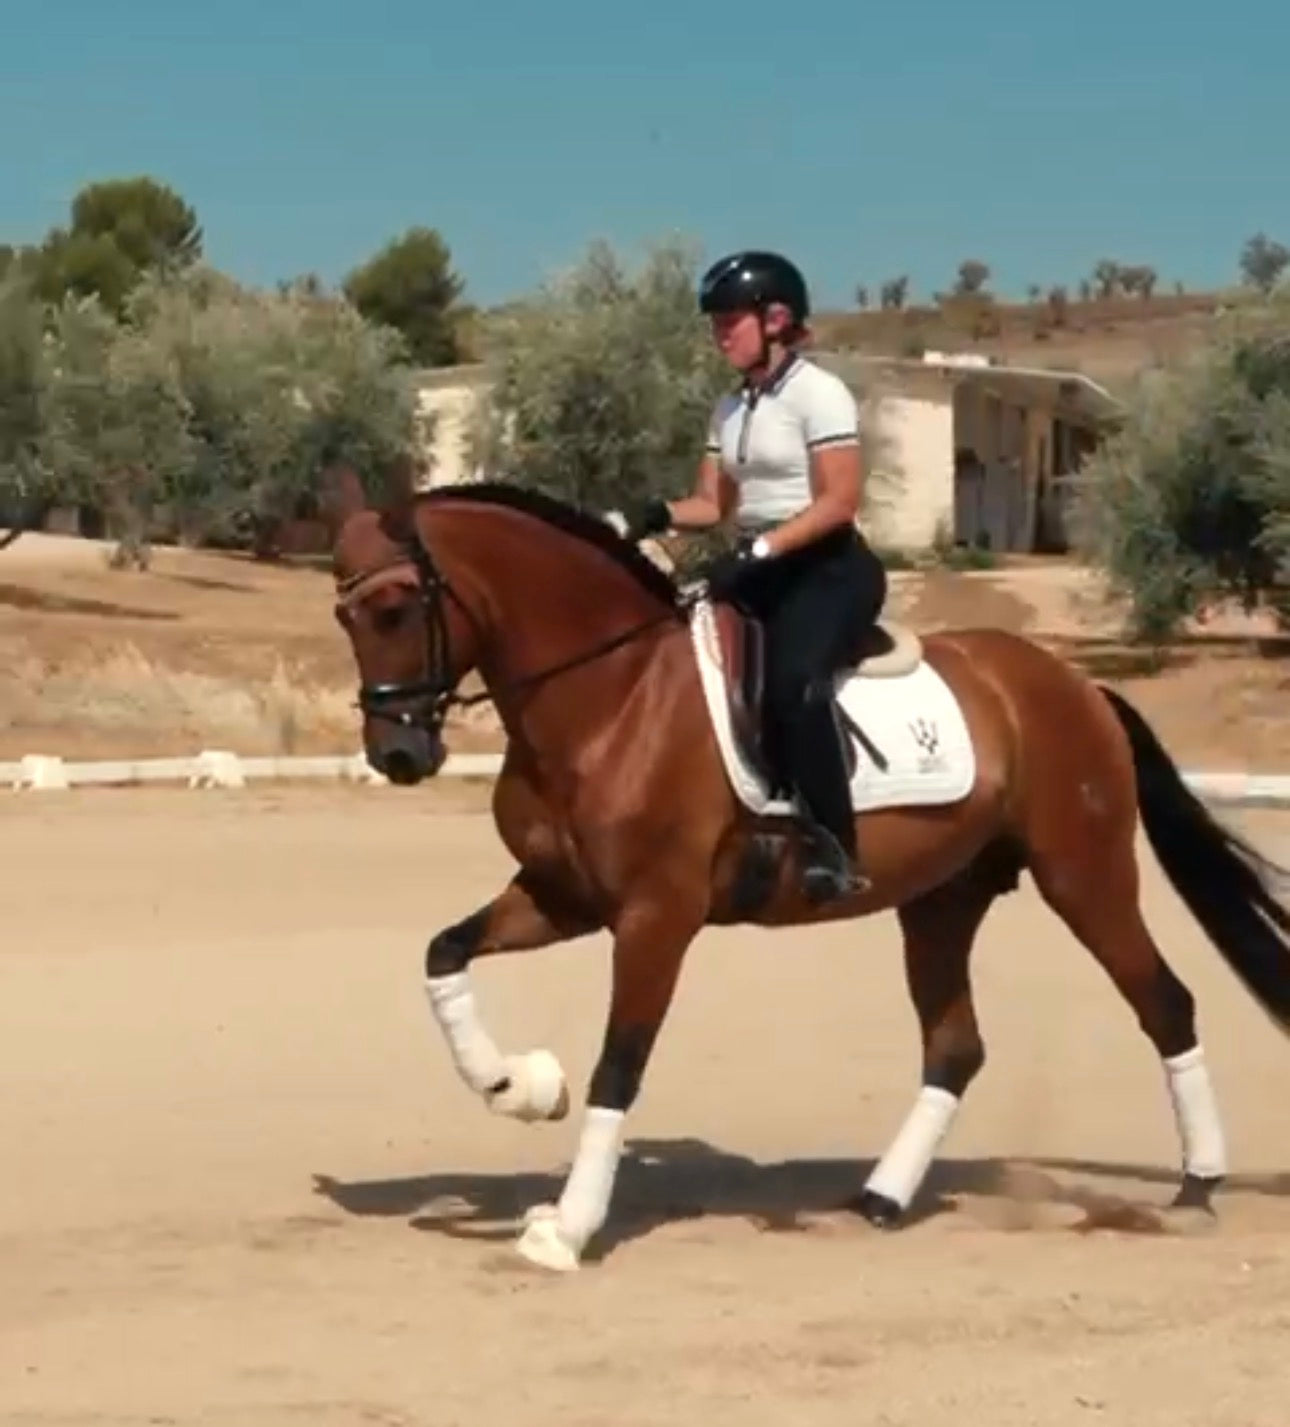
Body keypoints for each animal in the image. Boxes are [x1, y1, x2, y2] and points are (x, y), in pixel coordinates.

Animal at [323, 465, 1290, 1274]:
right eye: (345, 617)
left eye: (398, 608)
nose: (398, 754)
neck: (612, 694)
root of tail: (1075, 685)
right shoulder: (564, 896)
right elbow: (444, 954)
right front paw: (516, 1086)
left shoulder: (656, 916)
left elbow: (619, 1064)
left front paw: (567, 1226)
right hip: (941, 899)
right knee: (956, 1045)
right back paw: (883, 1197)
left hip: (1083, 875)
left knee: (1165, 1004)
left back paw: (1196, 1186)